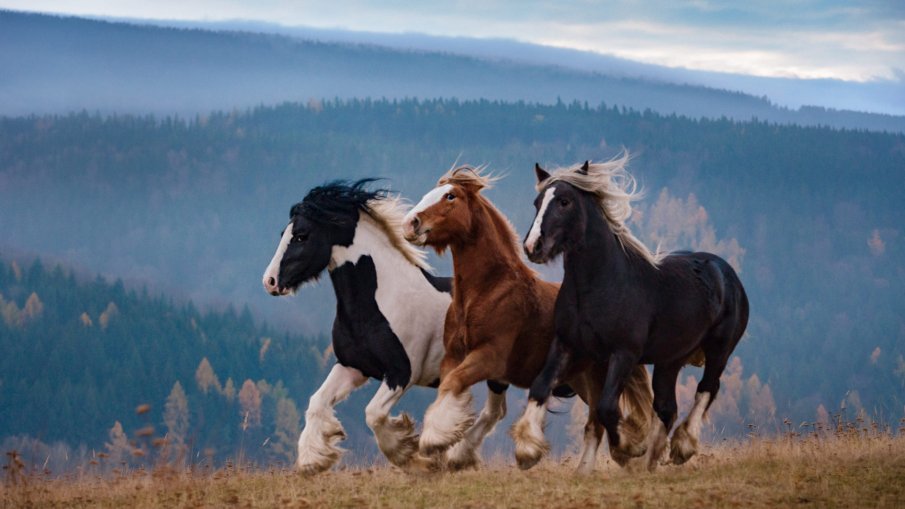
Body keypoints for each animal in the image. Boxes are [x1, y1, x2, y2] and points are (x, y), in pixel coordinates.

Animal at [262, 179, 508, 472]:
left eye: (301, 235)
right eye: (283, 233)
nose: (270, 281)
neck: (379, 302)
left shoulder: (402, 374)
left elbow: (373, 414)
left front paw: (413, 456)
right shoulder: (352, 367)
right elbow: (317, 401)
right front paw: (314, 460)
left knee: (495, 412)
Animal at [402, 165, 648, 470]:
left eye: (450, 196)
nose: (410, 223)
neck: (486, 292)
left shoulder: (489, 357)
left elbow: (454, 383)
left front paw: (436, 439)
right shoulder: (456, 357)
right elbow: (456, 391)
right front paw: (455, 451)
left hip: (597, 374)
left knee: (597, 421)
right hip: (578, 378)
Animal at [512, 155, 752, 468]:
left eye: (565, 201)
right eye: (537, 202)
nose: (533, 246)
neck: (600, 285)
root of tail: (726, 273)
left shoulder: (624, 353)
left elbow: (606, 407)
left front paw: (628, 448)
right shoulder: (566, 344)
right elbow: (540, 386)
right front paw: (527, 448)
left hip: (719, 349)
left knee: (707, 388)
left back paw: (682, 447)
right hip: (670, 359)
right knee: (666, 407)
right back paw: (651, 462)